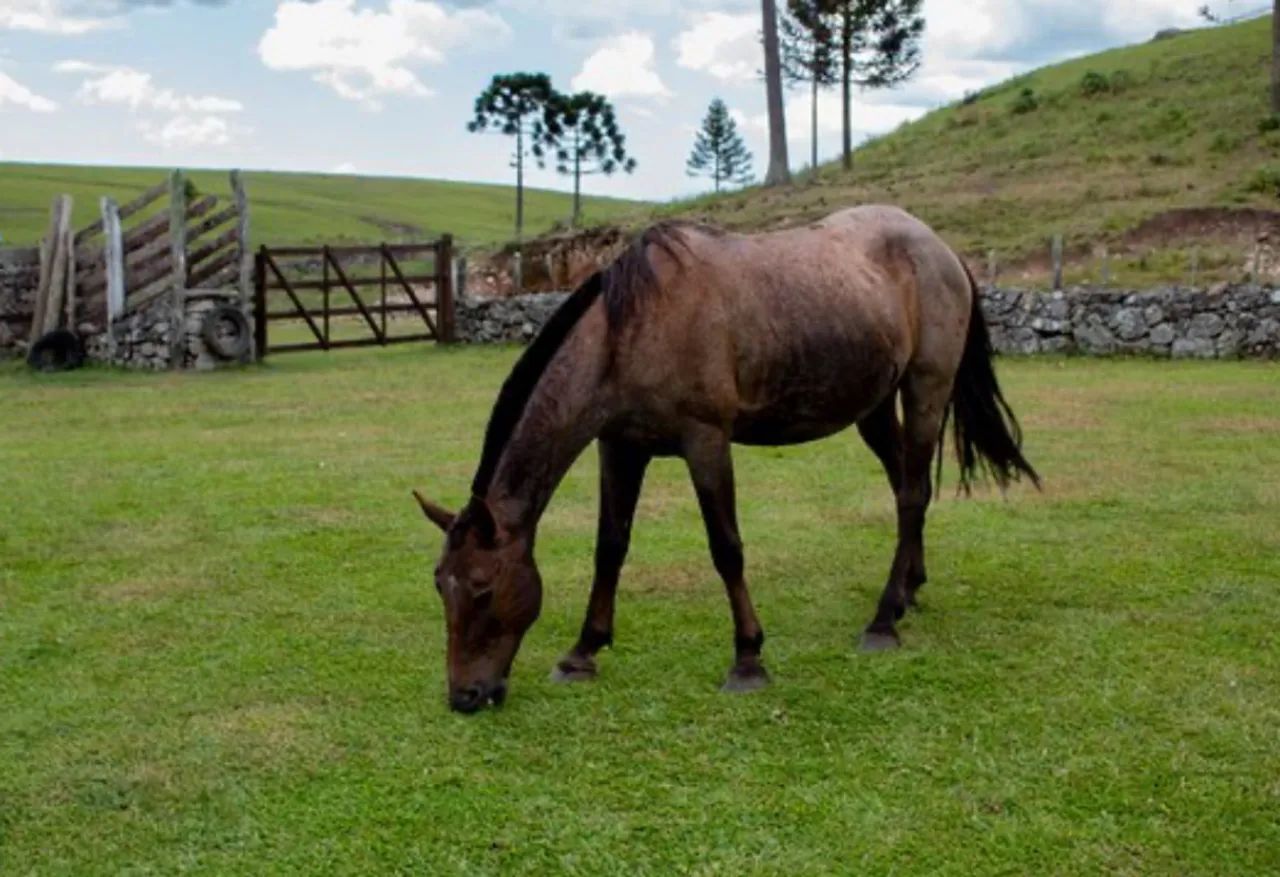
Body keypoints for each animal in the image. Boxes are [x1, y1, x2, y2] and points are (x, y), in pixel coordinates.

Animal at [414, 205, 1039, 713]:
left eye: (482, 588)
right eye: (440, 585)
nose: (464, 697)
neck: (632, 329)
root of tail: (939, 247)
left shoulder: (706, 442)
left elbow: (727, 548)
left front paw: (748, 659)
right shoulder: (620, 446)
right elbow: (610, 547)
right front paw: (582, 652)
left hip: (926, 388)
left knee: (911, 494)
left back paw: (883, 621)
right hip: (875, 406)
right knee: (906, 486)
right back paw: (909, 589)